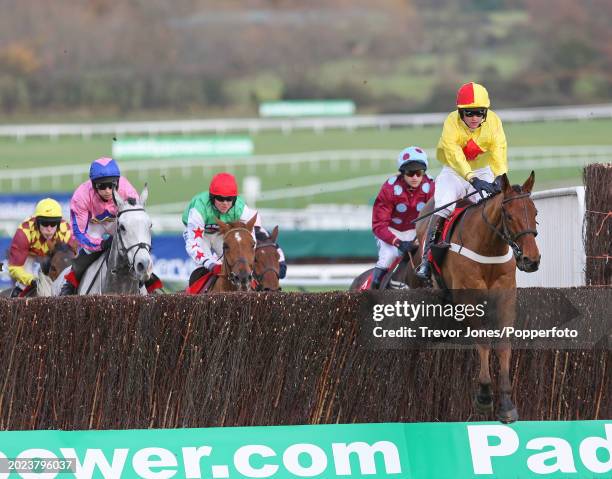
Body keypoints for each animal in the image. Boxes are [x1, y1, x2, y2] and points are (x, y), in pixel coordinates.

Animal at [416, 172, 540, 424]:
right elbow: (482, 341)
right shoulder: (469, 300)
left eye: (535, 213)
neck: (488, 248)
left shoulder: (505, 300)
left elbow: (503, 345)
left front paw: (507, 404)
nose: (531, 260)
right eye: (509, 215)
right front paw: (483, 394)